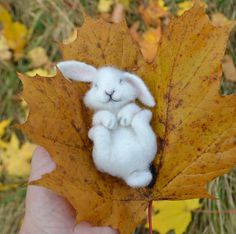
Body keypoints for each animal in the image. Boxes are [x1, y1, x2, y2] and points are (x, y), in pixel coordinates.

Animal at [56, 60, 157, 188]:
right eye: (96, 85)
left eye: (121, 81)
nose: (110, 92)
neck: (114, 109)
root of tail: (132, 169)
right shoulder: (96, 118)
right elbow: (101, 115)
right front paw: (111, 122)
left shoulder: (133, 107)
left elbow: (131, 107)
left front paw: (124, 118)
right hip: (103, 153)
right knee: (100, 131)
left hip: (148, 142)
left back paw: (144, 115)